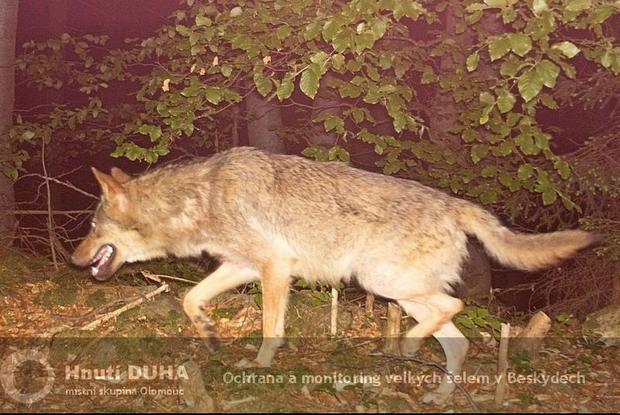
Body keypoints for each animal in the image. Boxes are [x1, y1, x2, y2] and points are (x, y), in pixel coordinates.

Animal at [71, 148, 600, 404]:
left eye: (92, 228)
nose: (74, 260)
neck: (198, 199)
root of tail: (455, 203)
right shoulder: (239, 266)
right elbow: (190, 300)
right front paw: (209, 333)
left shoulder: (274, 268)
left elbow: (270, 328)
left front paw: (259, 366)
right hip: (398, 293)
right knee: (459, 341)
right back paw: (437, 391)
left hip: (382, 283)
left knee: (455, 307)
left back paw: (407, 346)